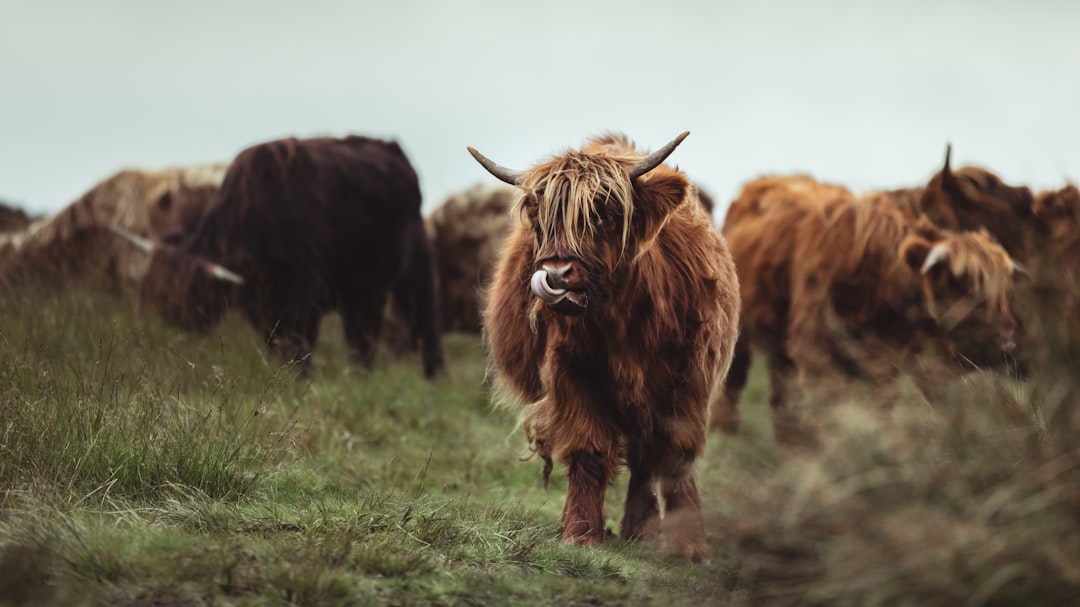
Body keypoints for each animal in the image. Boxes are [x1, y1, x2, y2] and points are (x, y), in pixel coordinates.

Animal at [475, 131, 743, 557]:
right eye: (541, 219)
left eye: (605, 213)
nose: (556, 273)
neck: (624, 321)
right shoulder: (571, 374)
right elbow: (590, 450)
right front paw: (581, 532)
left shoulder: (690, 379)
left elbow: (677, 454)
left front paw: (690, 546)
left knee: (647, 456)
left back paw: (642, 530)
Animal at [712, 172, 1023, 442]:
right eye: (959, 283)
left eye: (1003, 292)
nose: (1006, 342)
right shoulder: (816, 348)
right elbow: (832, 405)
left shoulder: (896, 357)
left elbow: (886, 403)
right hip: (738, 334)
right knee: (733, 384)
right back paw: (727, 436)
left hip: (780, 346)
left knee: (781, 395)